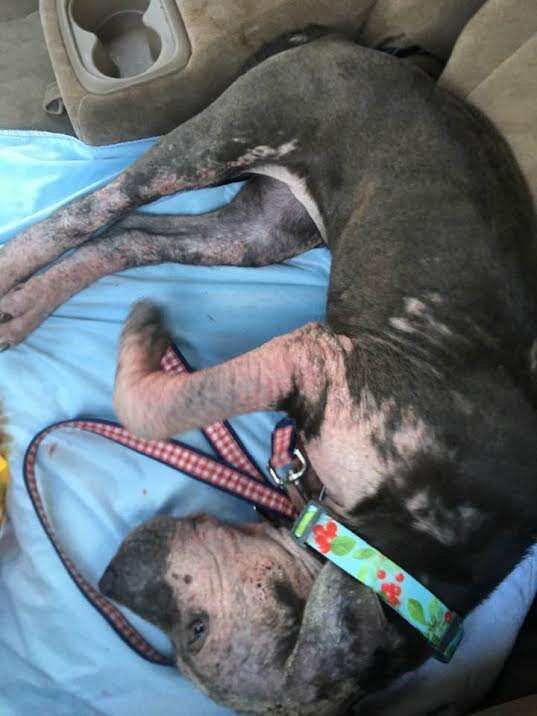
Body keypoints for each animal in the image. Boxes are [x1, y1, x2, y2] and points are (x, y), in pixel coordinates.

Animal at [1, 30, 536, 716]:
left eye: (195, 633)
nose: (109, 577)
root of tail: (343, 42)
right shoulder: (319, 358)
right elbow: (166, 404)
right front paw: (143, 346)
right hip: (221, 140)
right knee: (95, 209)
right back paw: (15, 271)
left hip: (256, 233)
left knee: (128, 238)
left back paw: (29, 302)